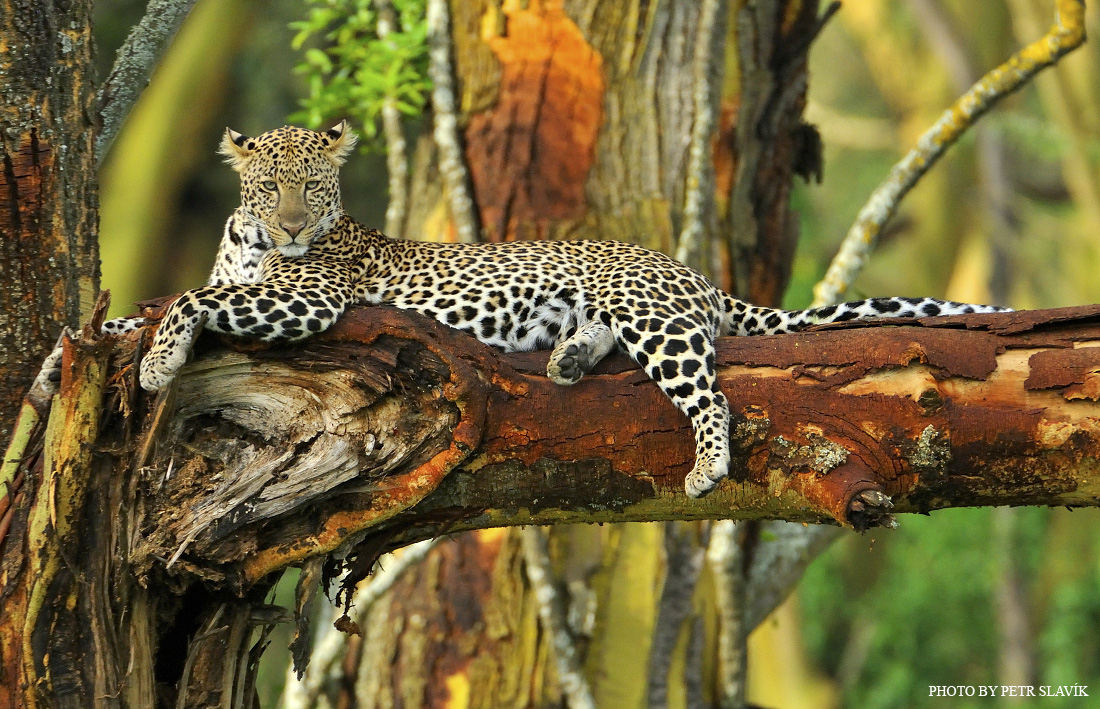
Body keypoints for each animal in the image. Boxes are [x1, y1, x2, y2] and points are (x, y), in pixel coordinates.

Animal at [34, 122, 1010, 498]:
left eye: (315, 186)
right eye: (271, 186)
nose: (294, 227)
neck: (251, 241)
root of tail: (688, 266)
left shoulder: (311, 295)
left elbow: (186, 298)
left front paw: (160, 361)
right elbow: (123, 317)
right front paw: (51, 370)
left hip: (653, 315)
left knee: (712, 394)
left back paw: (705, 465)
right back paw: (569, 357)